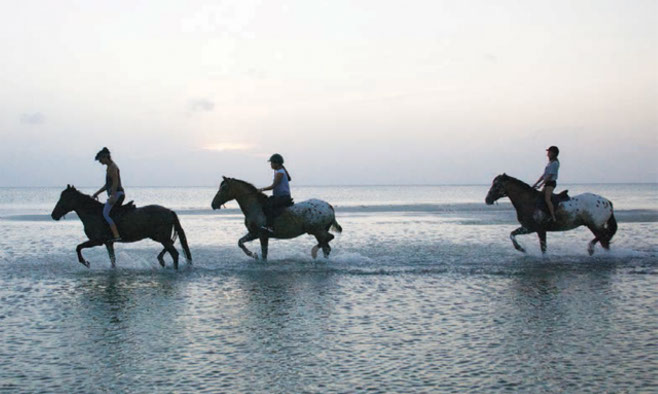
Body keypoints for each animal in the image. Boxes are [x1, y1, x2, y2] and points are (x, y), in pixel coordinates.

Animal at [51, 185, 191, 268]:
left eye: (64, 198)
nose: (53, 215)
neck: (93, 213)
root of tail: (169, 211)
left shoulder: (97, 241)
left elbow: (78, 247)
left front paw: (85, 262)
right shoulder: (108, 243)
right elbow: (112, 260)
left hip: (160, 238)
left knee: (174, 253)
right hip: (161, 238)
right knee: (171, 247)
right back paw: (161, 259)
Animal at [482, 173, 616, 254]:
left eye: (496, 185)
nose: (487, 199)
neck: (528, 201)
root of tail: (606, 201)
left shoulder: (540, 229)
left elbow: (543, 248)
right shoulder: (529, 228)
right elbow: (512, 234)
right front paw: (521, 249)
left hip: (594, 224)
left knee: (603, 236)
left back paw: (590, 248)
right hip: (594, 225)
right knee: (604, 240)